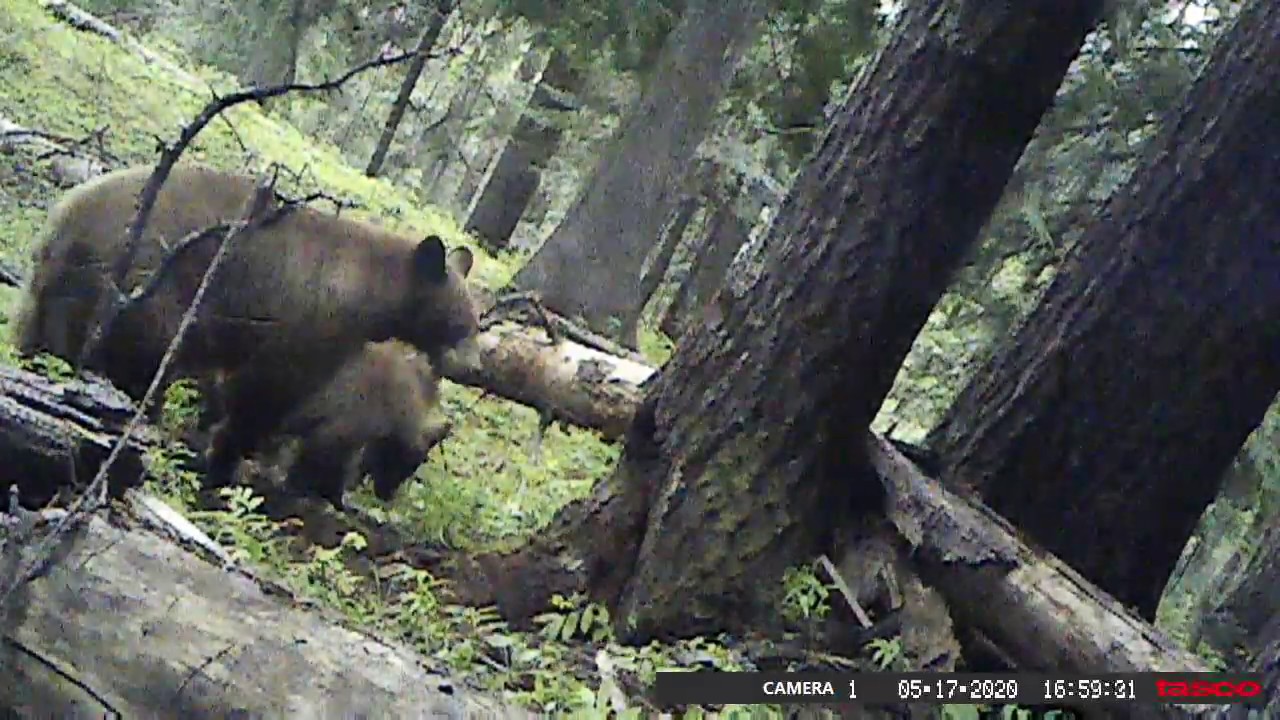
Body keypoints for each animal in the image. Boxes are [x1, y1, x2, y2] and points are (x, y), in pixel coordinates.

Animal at [15, 163, 481, 495]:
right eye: (463, 322)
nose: (475, 364)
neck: (368, 287)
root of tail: (67, 215)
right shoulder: (309, 322)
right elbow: (267, 393)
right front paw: (228, 462)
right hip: (142, 290)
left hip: (53, 287)